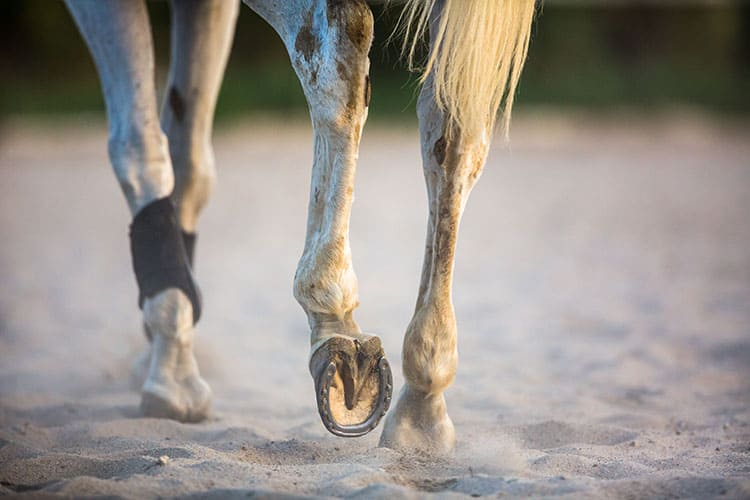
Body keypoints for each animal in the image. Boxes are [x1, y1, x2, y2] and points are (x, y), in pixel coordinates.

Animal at [64, 0, 535, 455]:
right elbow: (185, 157)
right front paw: (167, 342)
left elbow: (140, 146)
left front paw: (170, 367)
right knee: (453, 123)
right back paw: (422, 403)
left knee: (342, 53)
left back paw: (335, 318)